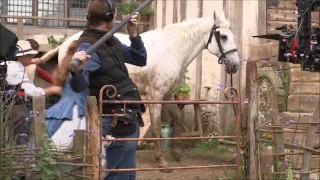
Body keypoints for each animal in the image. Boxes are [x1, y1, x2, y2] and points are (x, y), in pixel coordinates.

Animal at [44, 10, 240, 169]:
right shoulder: (156, 95)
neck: (172, 49)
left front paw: (177, 153)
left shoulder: (168, 95)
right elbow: (156, 125)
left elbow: (177, 117)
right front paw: (161, 160)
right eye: (223, 36)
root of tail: (65, 44)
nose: (236, 65)